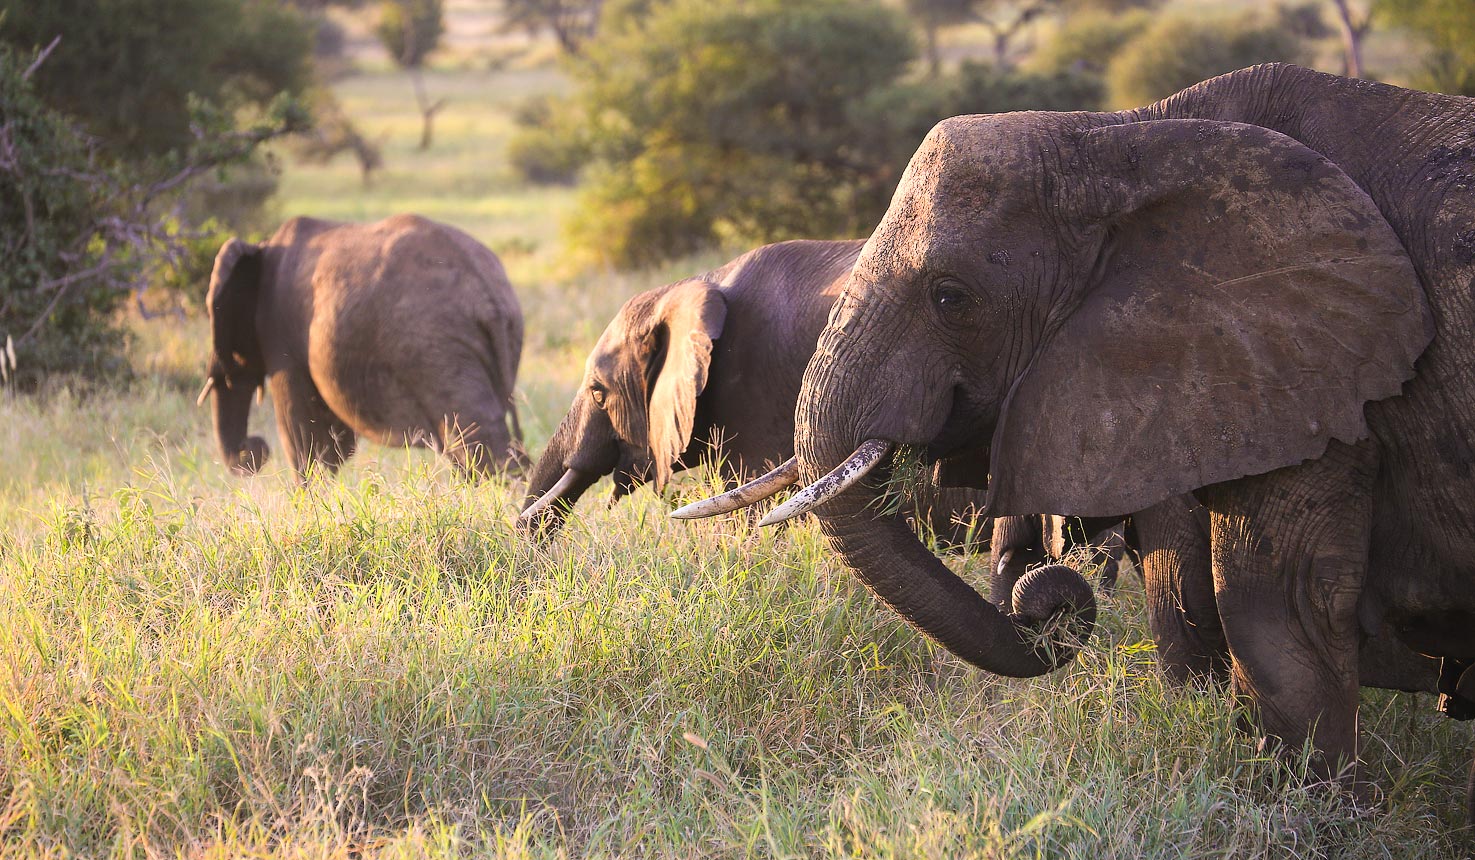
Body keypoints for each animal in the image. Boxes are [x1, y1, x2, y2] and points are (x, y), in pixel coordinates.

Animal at [200, 214, 526, 480]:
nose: (254, 448)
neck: (261, 247)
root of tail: (489, 296)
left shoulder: (279, 333)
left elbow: (303, 434)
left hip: (438, 348)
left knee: (475, 442)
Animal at [681, 64, 1475, 789]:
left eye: (951, 296)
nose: (1045, 598)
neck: (1121, 139)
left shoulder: (1311, 368)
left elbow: (1274, 609)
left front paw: (1306, 810)